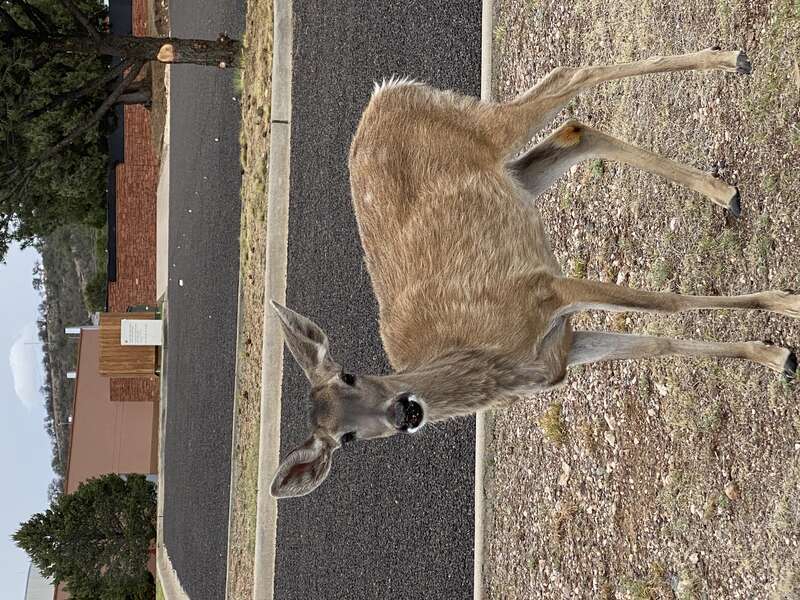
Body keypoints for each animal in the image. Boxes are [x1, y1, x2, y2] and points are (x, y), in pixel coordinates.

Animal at [269, 48, 798, 498]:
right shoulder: (562, 348)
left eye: (351, 375)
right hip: (516, 178)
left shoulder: (544, 289)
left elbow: (667, 303)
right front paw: (776, 355)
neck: (487, 362)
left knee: (568, 77)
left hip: (483, 125)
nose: (405, 411)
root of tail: (386, 91)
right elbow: (659, 344)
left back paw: (733, 61)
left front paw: (786, 305)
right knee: (574, 130)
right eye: (346, 438)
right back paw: (724, 190)